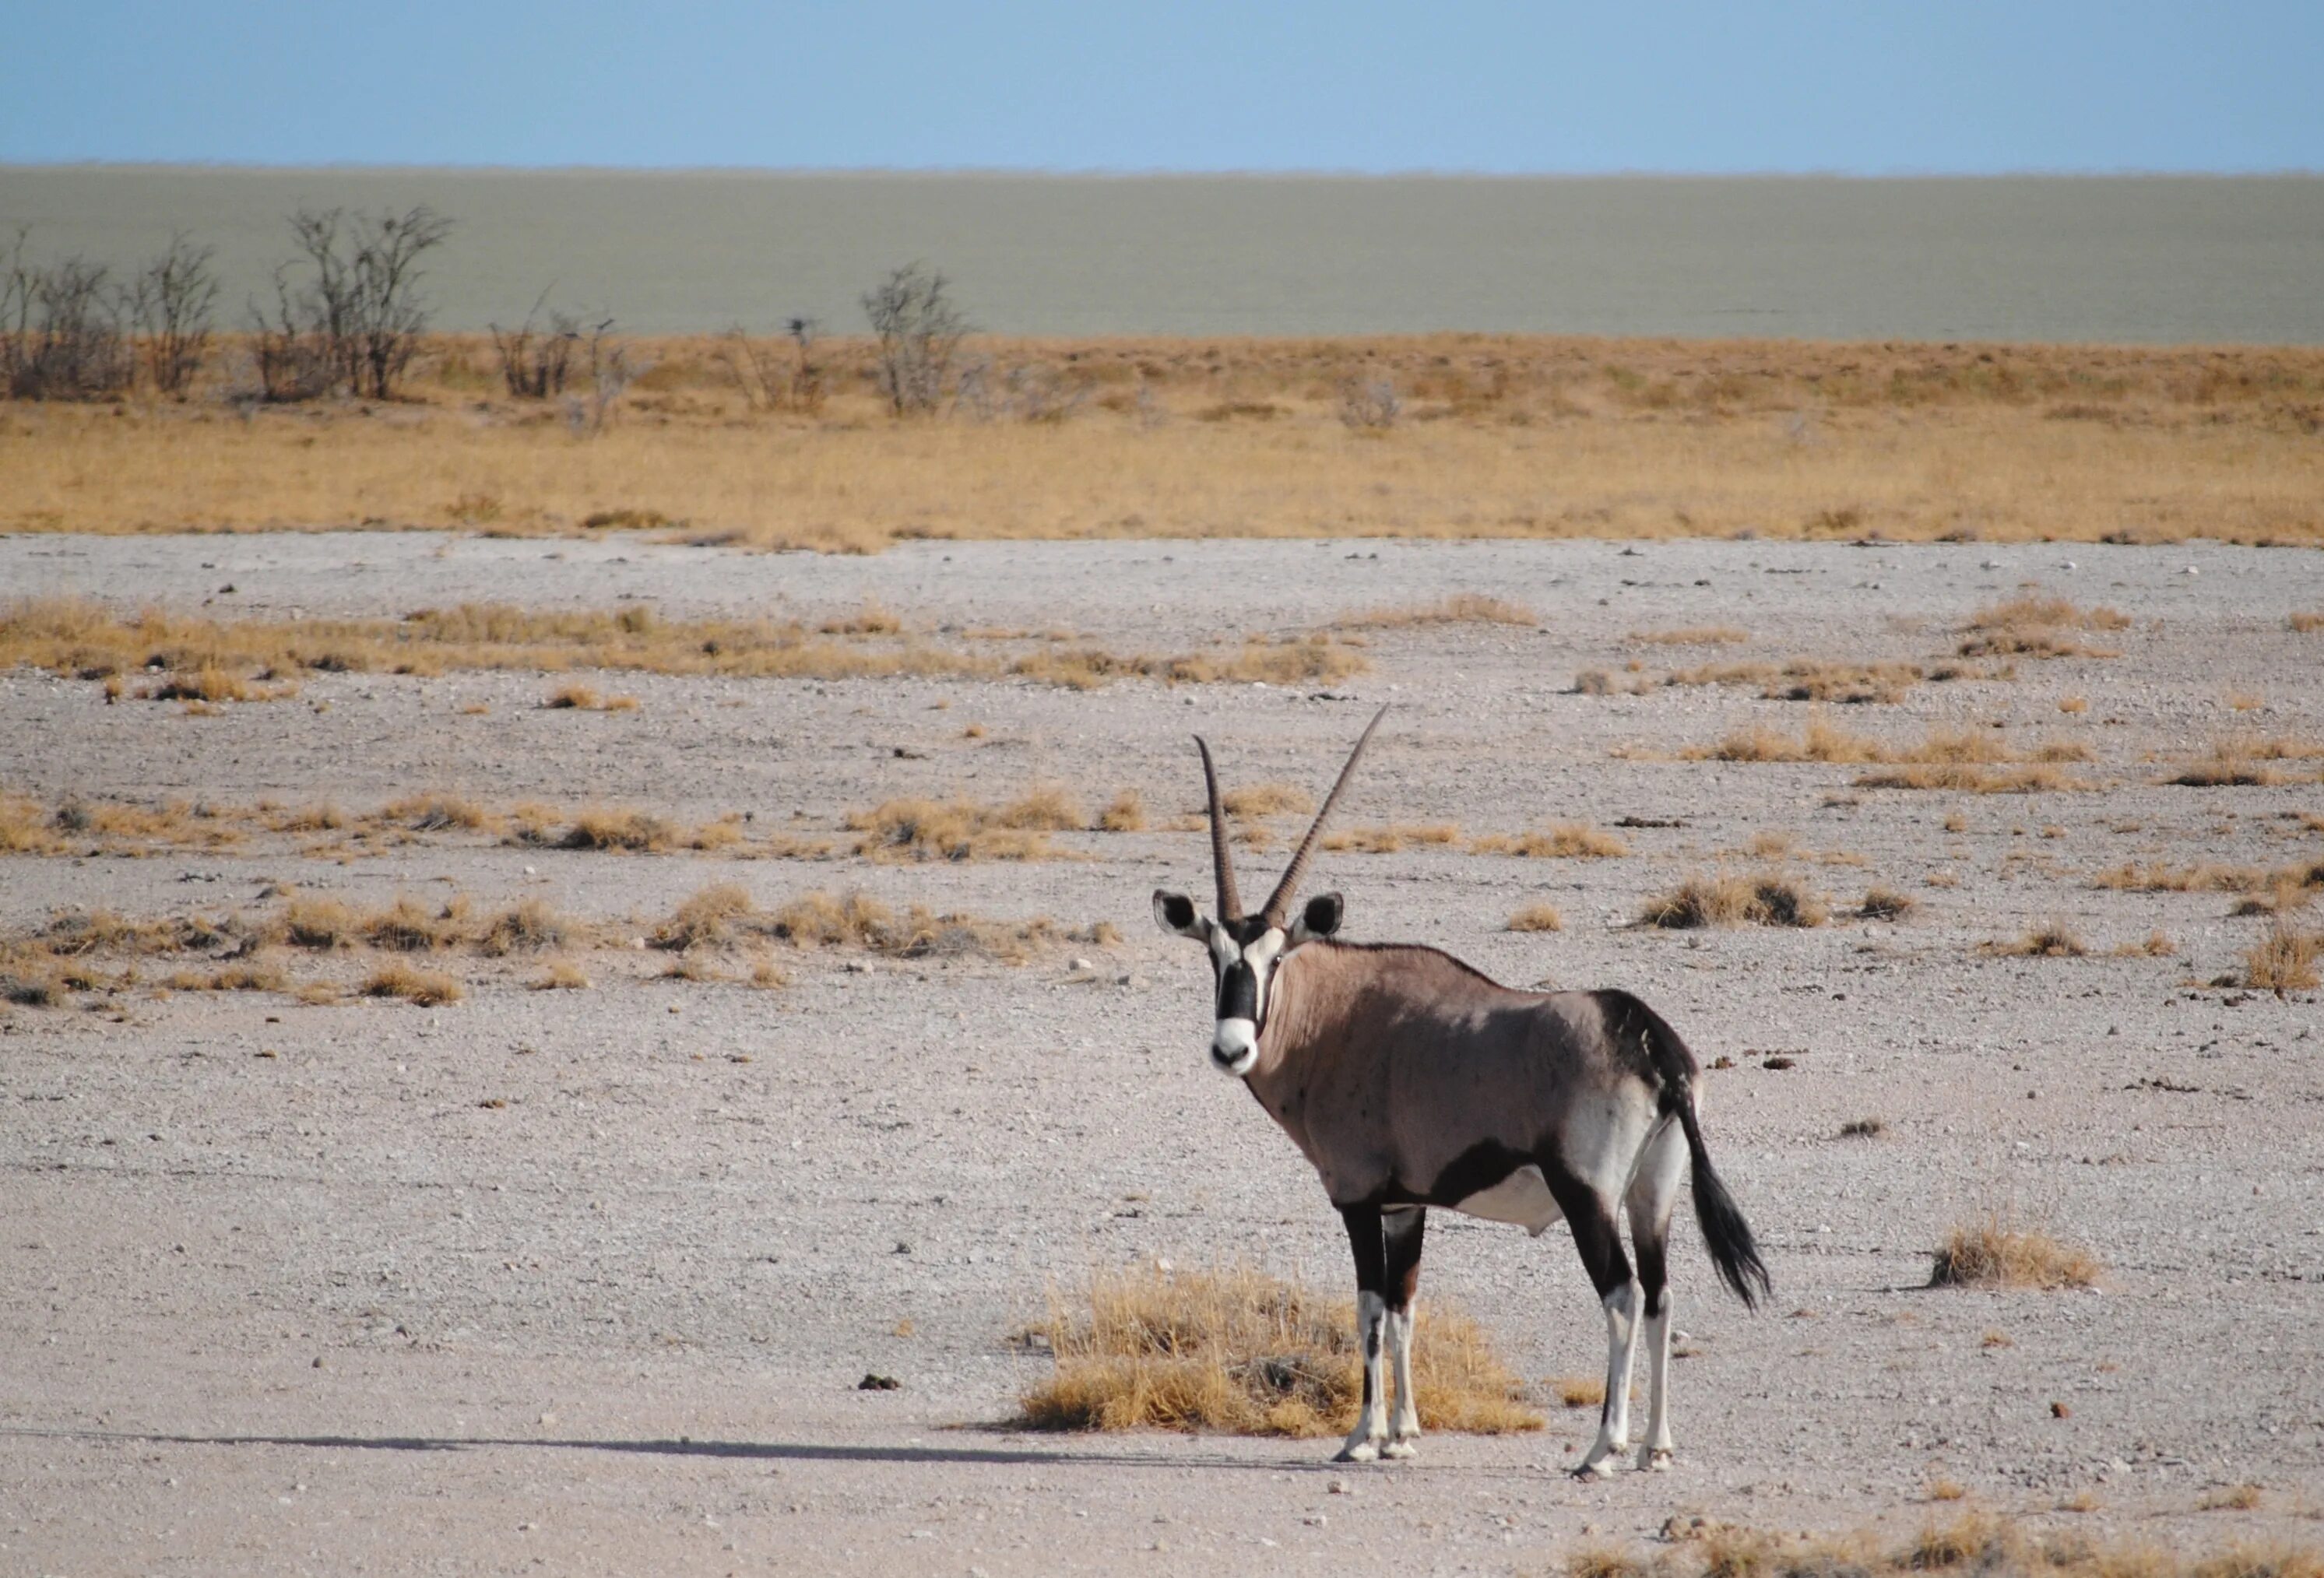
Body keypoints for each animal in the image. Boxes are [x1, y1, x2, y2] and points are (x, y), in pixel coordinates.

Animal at [1152, 711, 1766, 1478]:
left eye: (1275, 958)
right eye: (1214, 956)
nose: (1231, 1047)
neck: (1337, 1019)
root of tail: (1651, 1040)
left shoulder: (1357, 1197)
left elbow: (1369, 1309)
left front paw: (1361, 1436)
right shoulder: (1404, 1203)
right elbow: (1405, 1308)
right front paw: (1404, 1433)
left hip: (1587, 1194)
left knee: (1623, 1295)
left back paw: (1603, 1447)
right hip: (1652, 1192)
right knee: (1659, 1294)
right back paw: (1656, 1446)